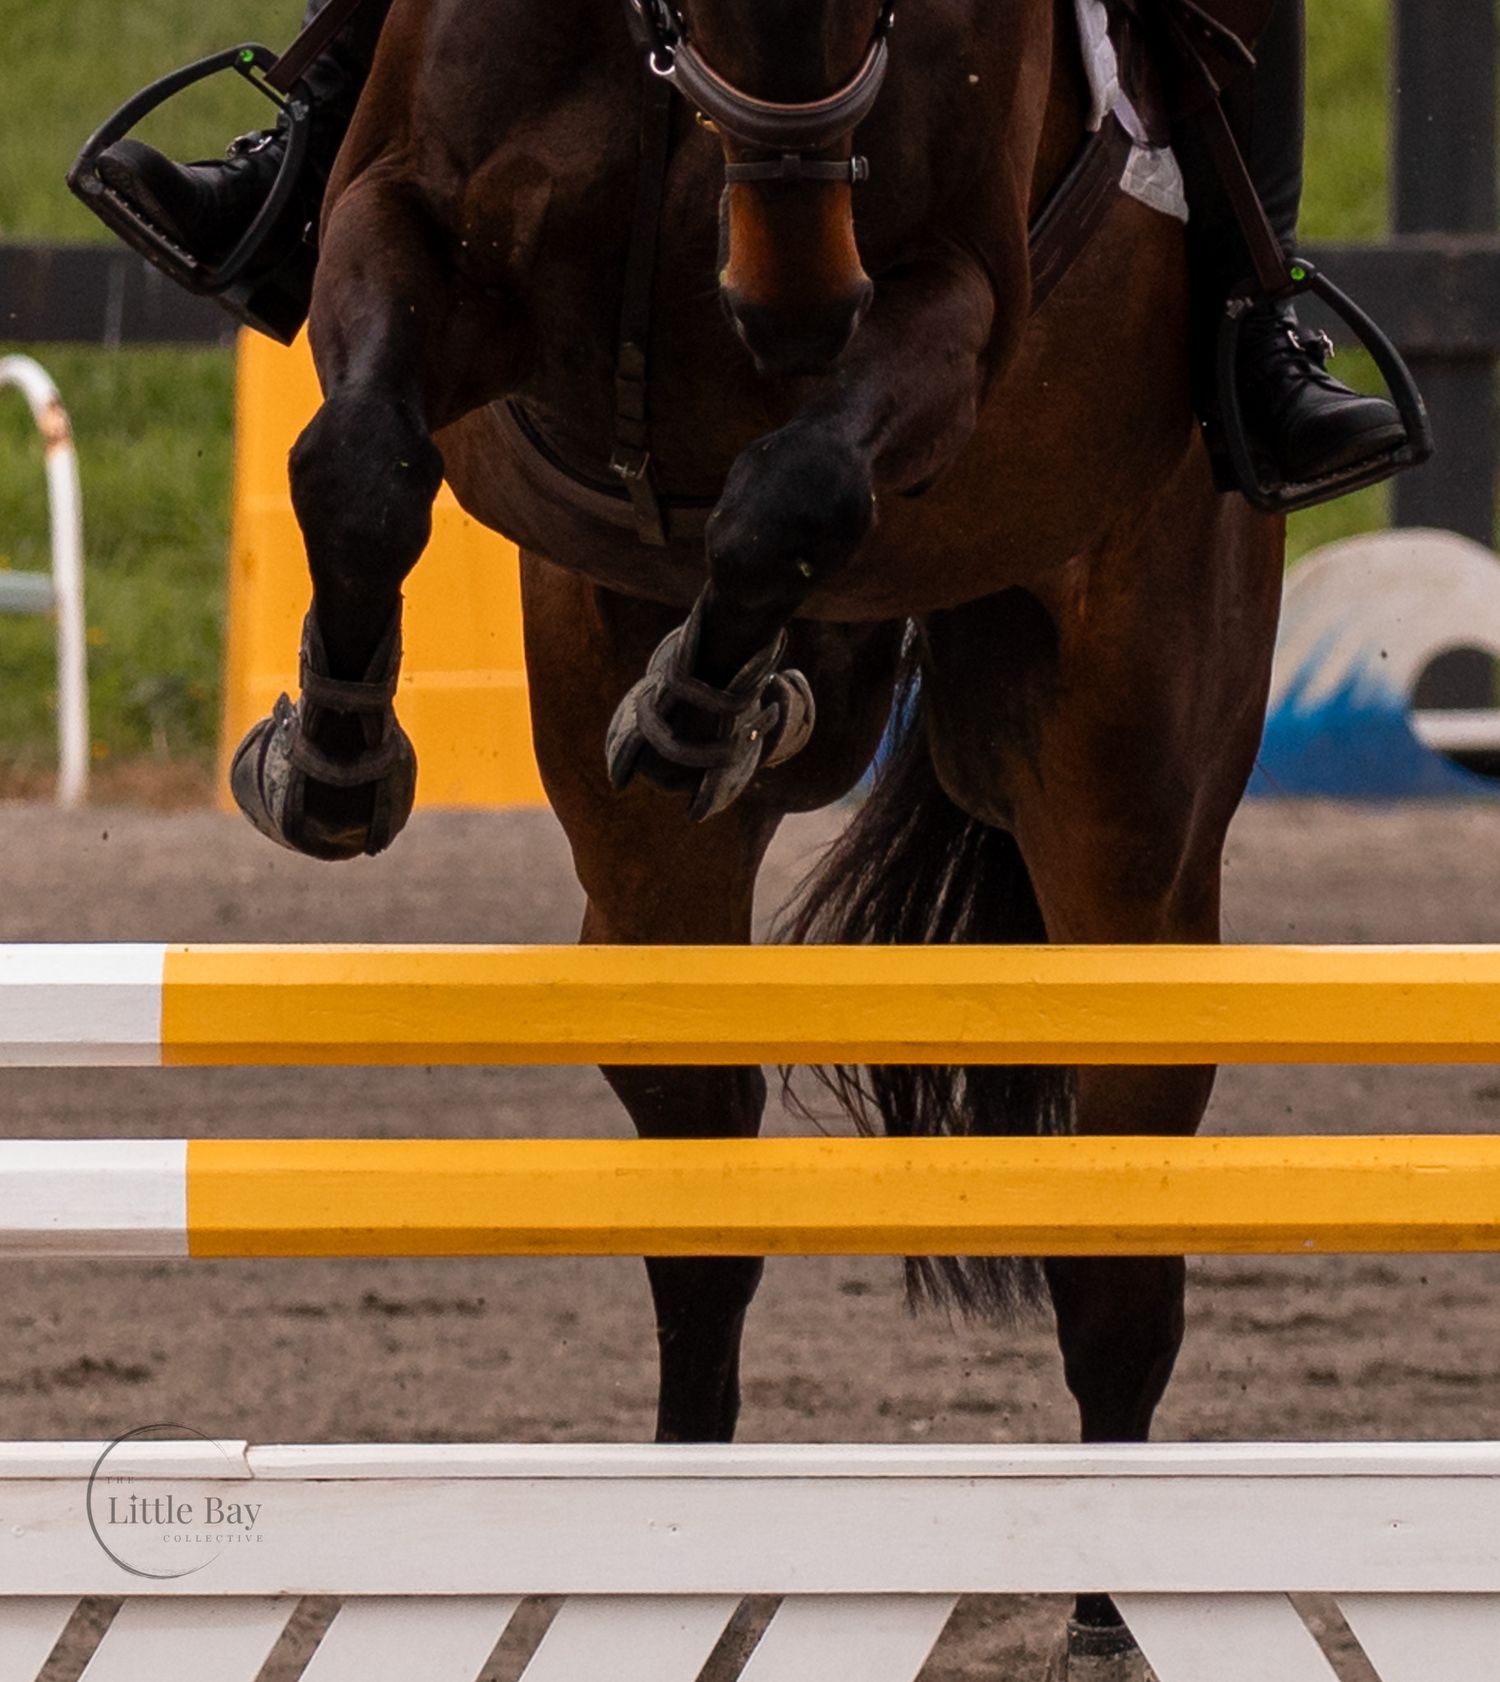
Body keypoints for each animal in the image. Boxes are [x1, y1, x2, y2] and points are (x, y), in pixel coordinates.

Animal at [258, 0, 1284, 1667]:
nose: (798, 307)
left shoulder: (949, 304)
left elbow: (795, 483)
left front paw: (700, 705)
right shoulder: (406, 218)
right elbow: (356, 460)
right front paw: (333, 753)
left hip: (1131, 813)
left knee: (1116, 1261)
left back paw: (1105, 1610)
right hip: (643, 853)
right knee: (699, 1192)